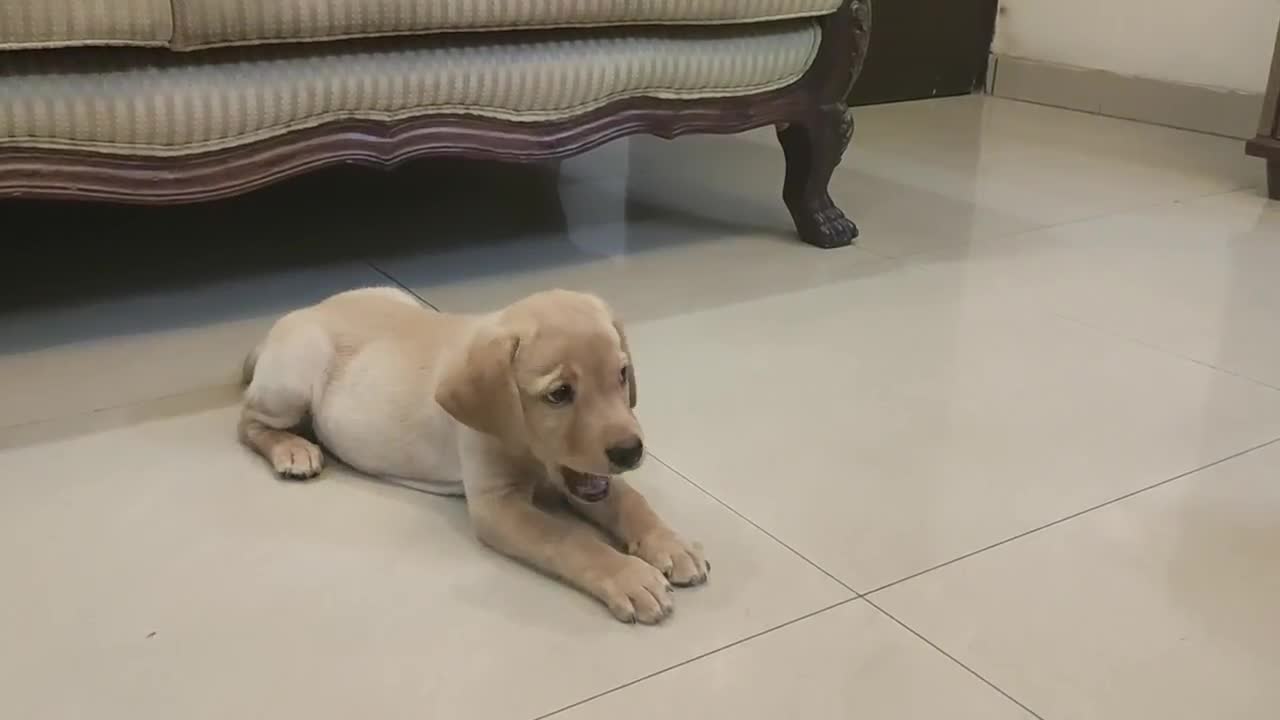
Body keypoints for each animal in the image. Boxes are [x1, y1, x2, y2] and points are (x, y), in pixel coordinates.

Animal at [240, 283, 711, 620]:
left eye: (622, 375)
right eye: (559, 394)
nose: (631, 451)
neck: (530, 452)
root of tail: (299, 314)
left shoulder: (586, 478)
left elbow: (631, 501)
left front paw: (671, 543)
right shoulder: (496, 506)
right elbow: (567, 537)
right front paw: (629, 576)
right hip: (292, 380)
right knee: (247, 420)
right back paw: (292, 450)